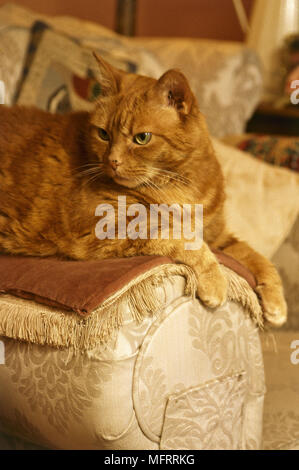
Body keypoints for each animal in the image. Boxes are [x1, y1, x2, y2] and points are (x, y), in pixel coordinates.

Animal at [0, 53, 288, 326]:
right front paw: (215, 281)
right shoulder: (106, 224)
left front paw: (276, 302)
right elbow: (179, 235)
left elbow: (256, 257)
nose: (112, 161)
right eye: (103, 134)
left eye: (142, 138)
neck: (180, 185)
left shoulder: (218, 236)